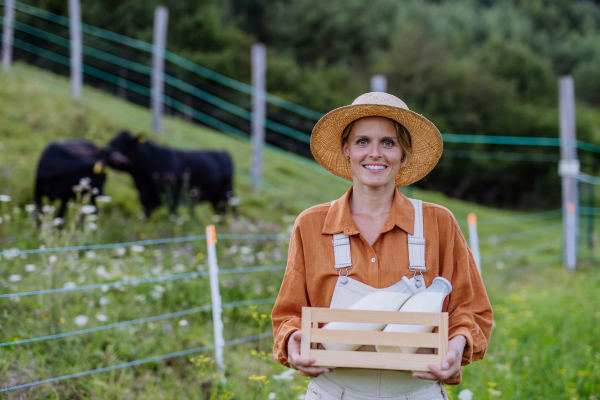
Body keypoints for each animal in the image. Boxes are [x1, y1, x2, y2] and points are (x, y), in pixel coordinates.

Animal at [105, 131, 234, 217]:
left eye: (116, 144)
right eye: (111, 142)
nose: (104, 151)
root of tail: (224, 152)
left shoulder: (173, 198)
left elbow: (173, 217)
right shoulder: (146, 198)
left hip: (223, 197)